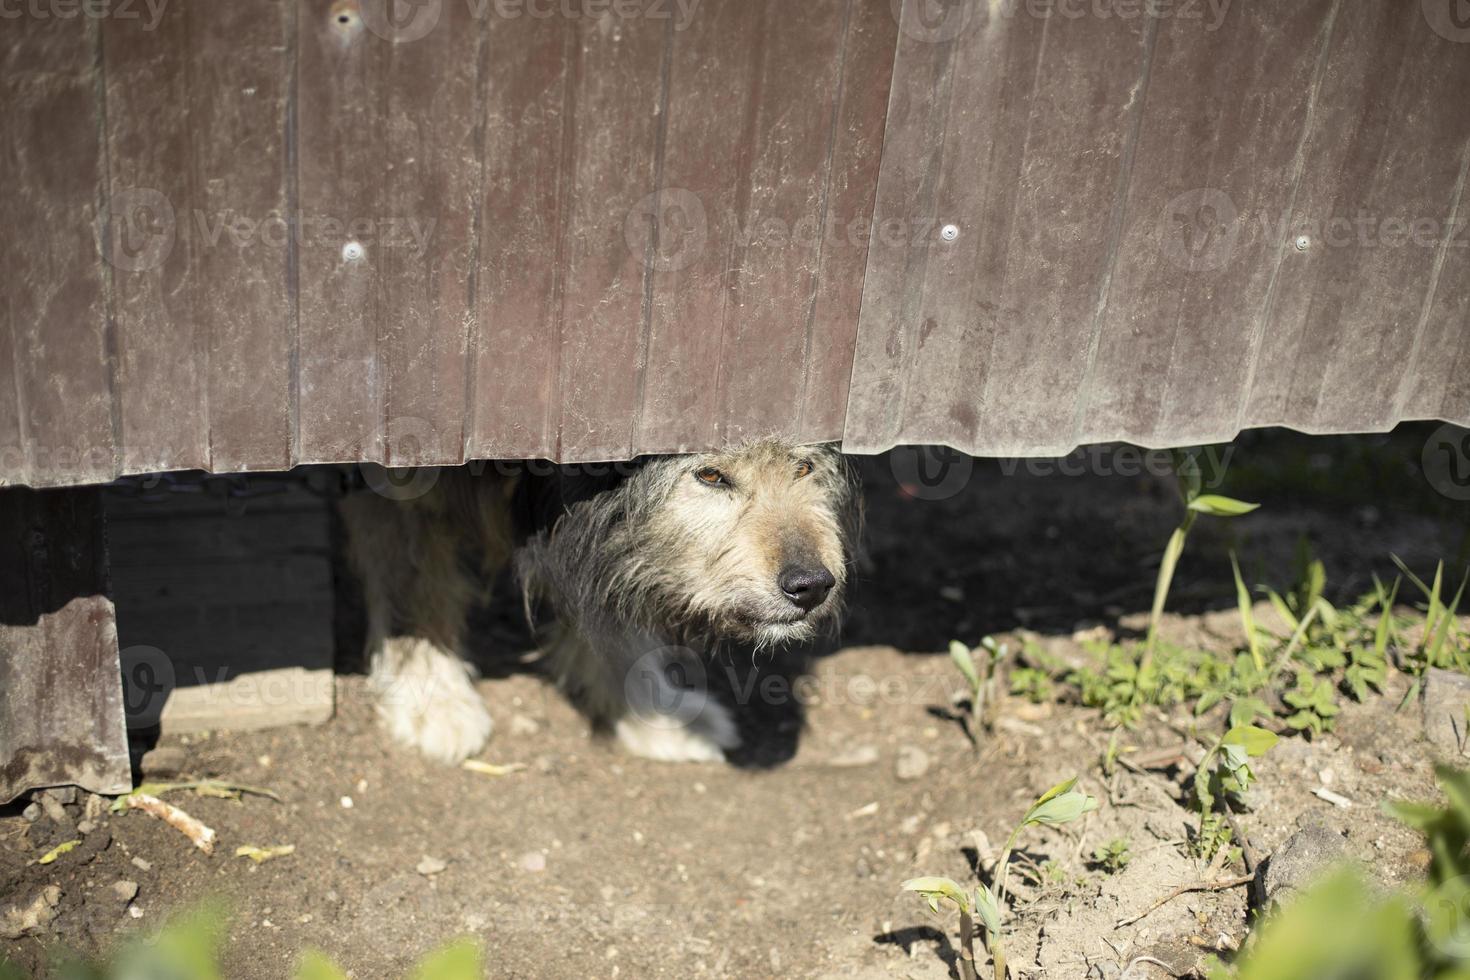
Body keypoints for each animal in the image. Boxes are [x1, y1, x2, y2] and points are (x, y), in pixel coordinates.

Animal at [338, 443, 858, 764]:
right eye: (711, 475)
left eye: (804, 467)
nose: (813, 585)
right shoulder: (402, 478)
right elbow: (411, 592)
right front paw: (432, 697)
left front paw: (653, 712)